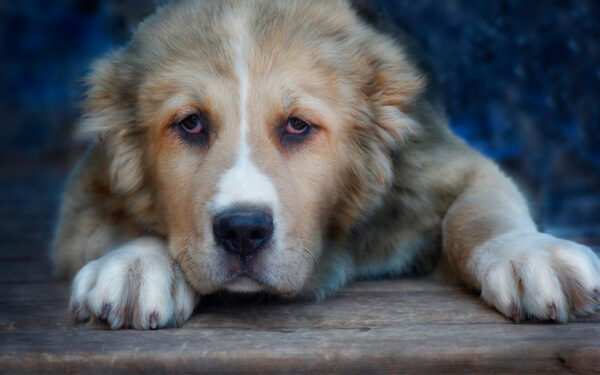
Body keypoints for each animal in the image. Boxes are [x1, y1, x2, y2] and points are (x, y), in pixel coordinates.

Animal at [52, 0, 600, 328]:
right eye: (190, 124)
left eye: (297, 125)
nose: (243, 231)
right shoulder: (81, 201)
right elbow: (118, 227)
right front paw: (139, 264)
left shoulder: (449, 165)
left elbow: (480, 213)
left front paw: (527, 254)